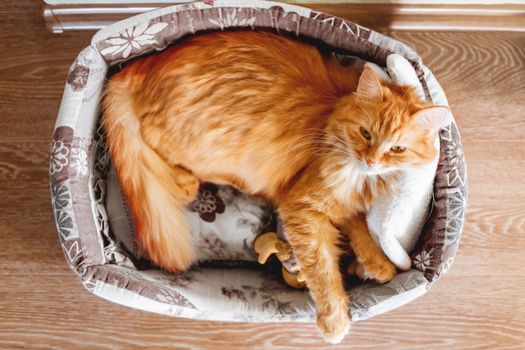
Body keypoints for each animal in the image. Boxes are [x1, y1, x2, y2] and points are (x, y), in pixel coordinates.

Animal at [103, 31, 450, 344]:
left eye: (397, 149)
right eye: (366, 134)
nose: (371, 160)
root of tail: (138, 66)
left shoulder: (340, 203)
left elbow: (359, 228)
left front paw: (378, 264)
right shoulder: (302, 207)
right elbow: (324, 270)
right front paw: (335, 321)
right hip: (193, 149)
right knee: (169, 166)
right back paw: (192, 183)